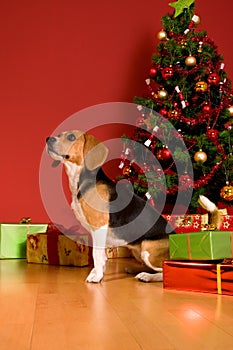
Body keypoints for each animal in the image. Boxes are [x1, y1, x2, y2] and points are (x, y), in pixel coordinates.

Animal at [46, 130, 219, 284]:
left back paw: (147, 276)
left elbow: (97, 255)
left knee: (166, 270)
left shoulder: (99, 226)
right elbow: (100, 256)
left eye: (71, 137)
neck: (81, 180)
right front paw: (96, 273)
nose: (48, 139)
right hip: (138, 252)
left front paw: (97, 277)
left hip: (147, 248)